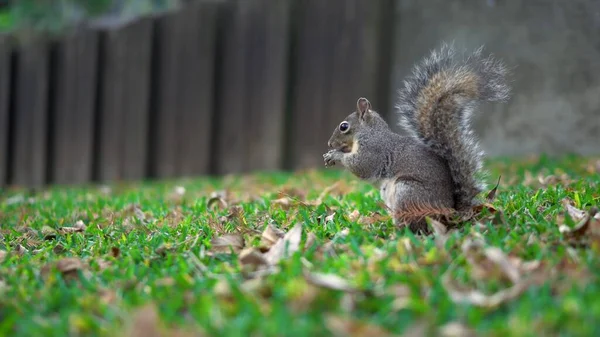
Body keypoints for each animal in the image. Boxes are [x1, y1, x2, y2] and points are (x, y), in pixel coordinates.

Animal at [324, 43, 510, 232]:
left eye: (344, 126)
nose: (329, 143)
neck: (370, 132)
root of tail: (451, 214)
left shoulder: (373, 150)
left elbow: (362, 165)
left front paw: (335, 155)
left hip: (407, 192)